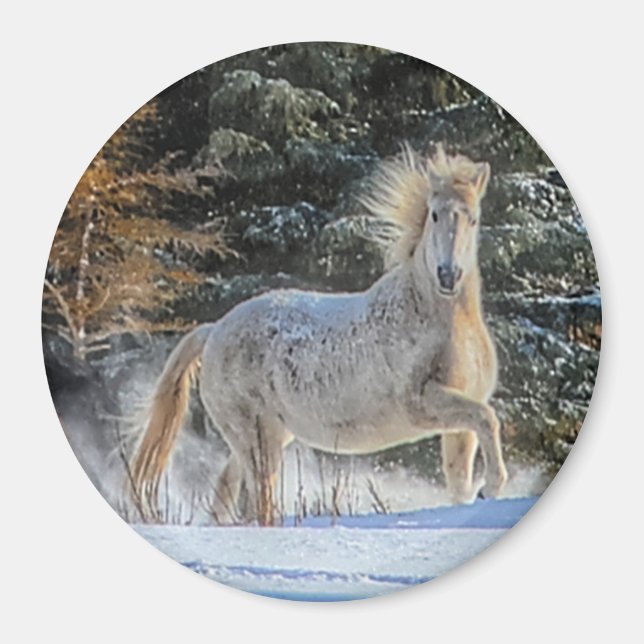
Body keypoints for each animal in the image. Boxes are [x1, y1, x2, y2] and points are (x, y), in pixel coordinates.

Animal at [129, 143, 508, 524]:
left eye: (473, 218)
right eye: (434, 215)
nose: (448, 275)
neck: (436, 317)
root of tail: (213, 331)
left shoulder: (458, 424)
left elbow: (460, 479)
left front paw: (478, 495)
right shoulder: (422, 404)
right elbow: (487, 419)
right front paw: (491, 486)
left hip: (267, 435)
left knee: (226, 492)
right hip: (256, 440)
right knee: (258, 503)